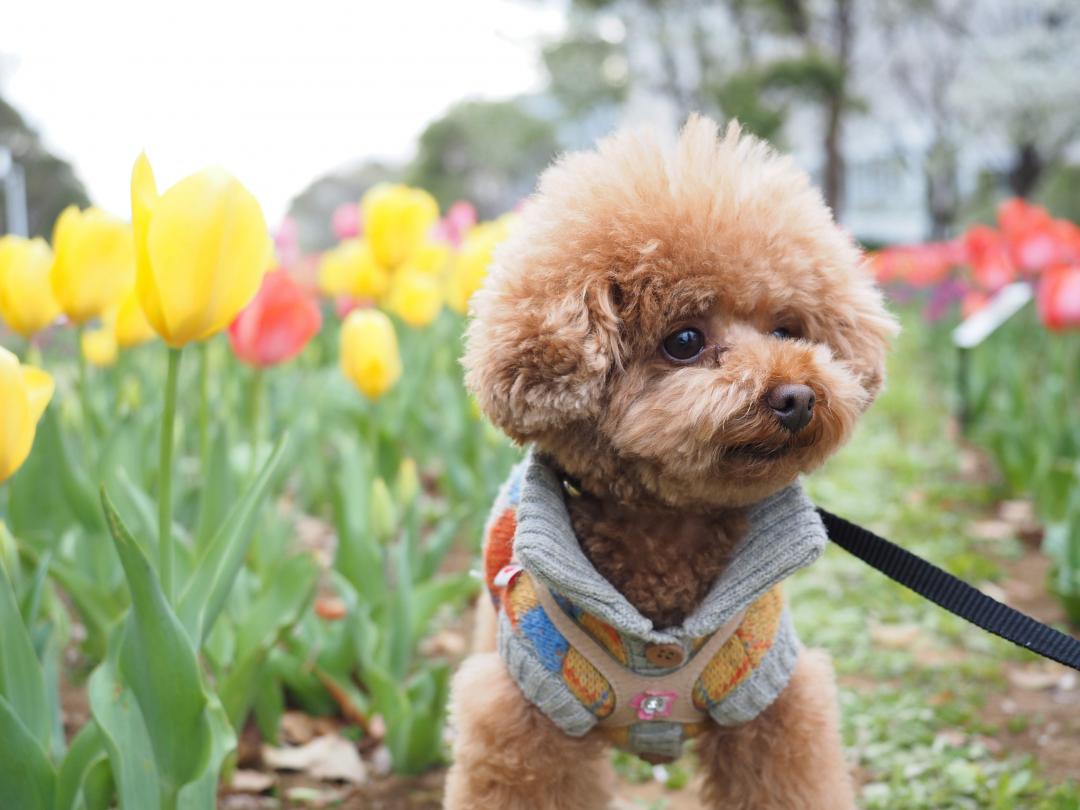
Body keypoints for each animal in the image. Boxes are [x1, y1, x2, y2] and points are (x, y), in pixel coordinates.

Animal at [442, 115, 898, 810]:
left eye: (787, 330)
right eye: (684, 341)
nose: (796, 397)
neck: (666, 531)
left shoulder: (771, 698)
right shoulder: (524, 713)